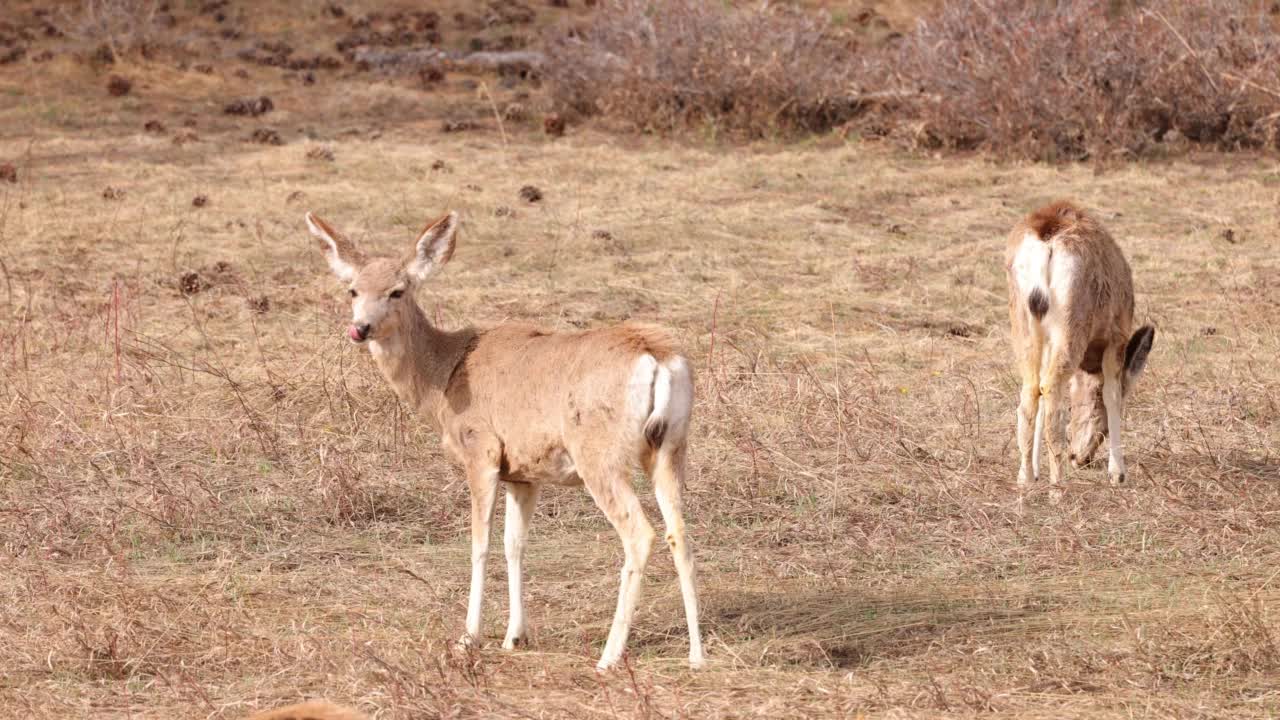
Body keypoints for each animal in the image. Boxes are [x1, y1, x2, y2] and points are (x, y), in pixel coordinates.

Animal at [307, 207, 711, 666]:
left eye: (397, 291)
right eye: (353, 290)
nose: (360, 328)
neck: (443, 377)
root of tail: (657, 357)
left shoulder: (481, 450)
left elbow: (480, 544)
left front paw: (468, 637)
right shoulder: (523, 472)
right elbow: (514, 544)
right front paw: (515, 636)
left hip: (598, 451)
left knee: (639, 534)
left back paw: (608, 656)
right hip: (671, 446)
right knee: (681, 533)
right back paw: (697, 655)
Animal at [1003, 198, 1157, 484]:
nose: (1080, 458)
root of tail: (1047, 239)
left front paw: (1036, 470)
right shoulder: (1116, 336)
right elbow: (1111, 393)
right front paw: (1117, 473)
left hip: (1021, 321)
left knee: (1031, 390)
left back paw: (1025, 478)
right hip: (1073, 319)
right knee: (1051, 390)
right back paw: (1058, 484)